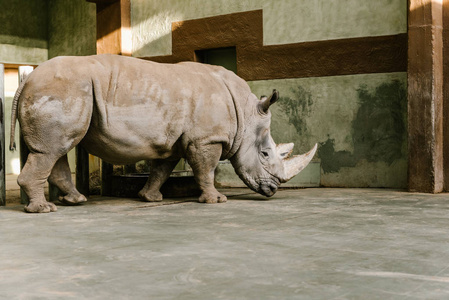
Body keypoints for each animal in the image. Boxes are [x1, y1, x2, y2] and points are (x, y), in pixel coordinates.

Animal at [9, 54, 316, 213]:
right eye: (264, 154)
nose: (273, 190)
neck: (245, 112)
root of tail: (27, 79)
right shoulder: (206, 139)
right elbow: (207, 169)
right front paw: (216, 201)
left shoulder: (173, 141)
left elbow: (162, 169)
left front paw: (150, 199)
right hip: (62, 89)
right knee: (52, 149)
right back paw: (44, 210)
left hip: (63, 91)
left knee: (57, 149)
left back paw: (75, 201)